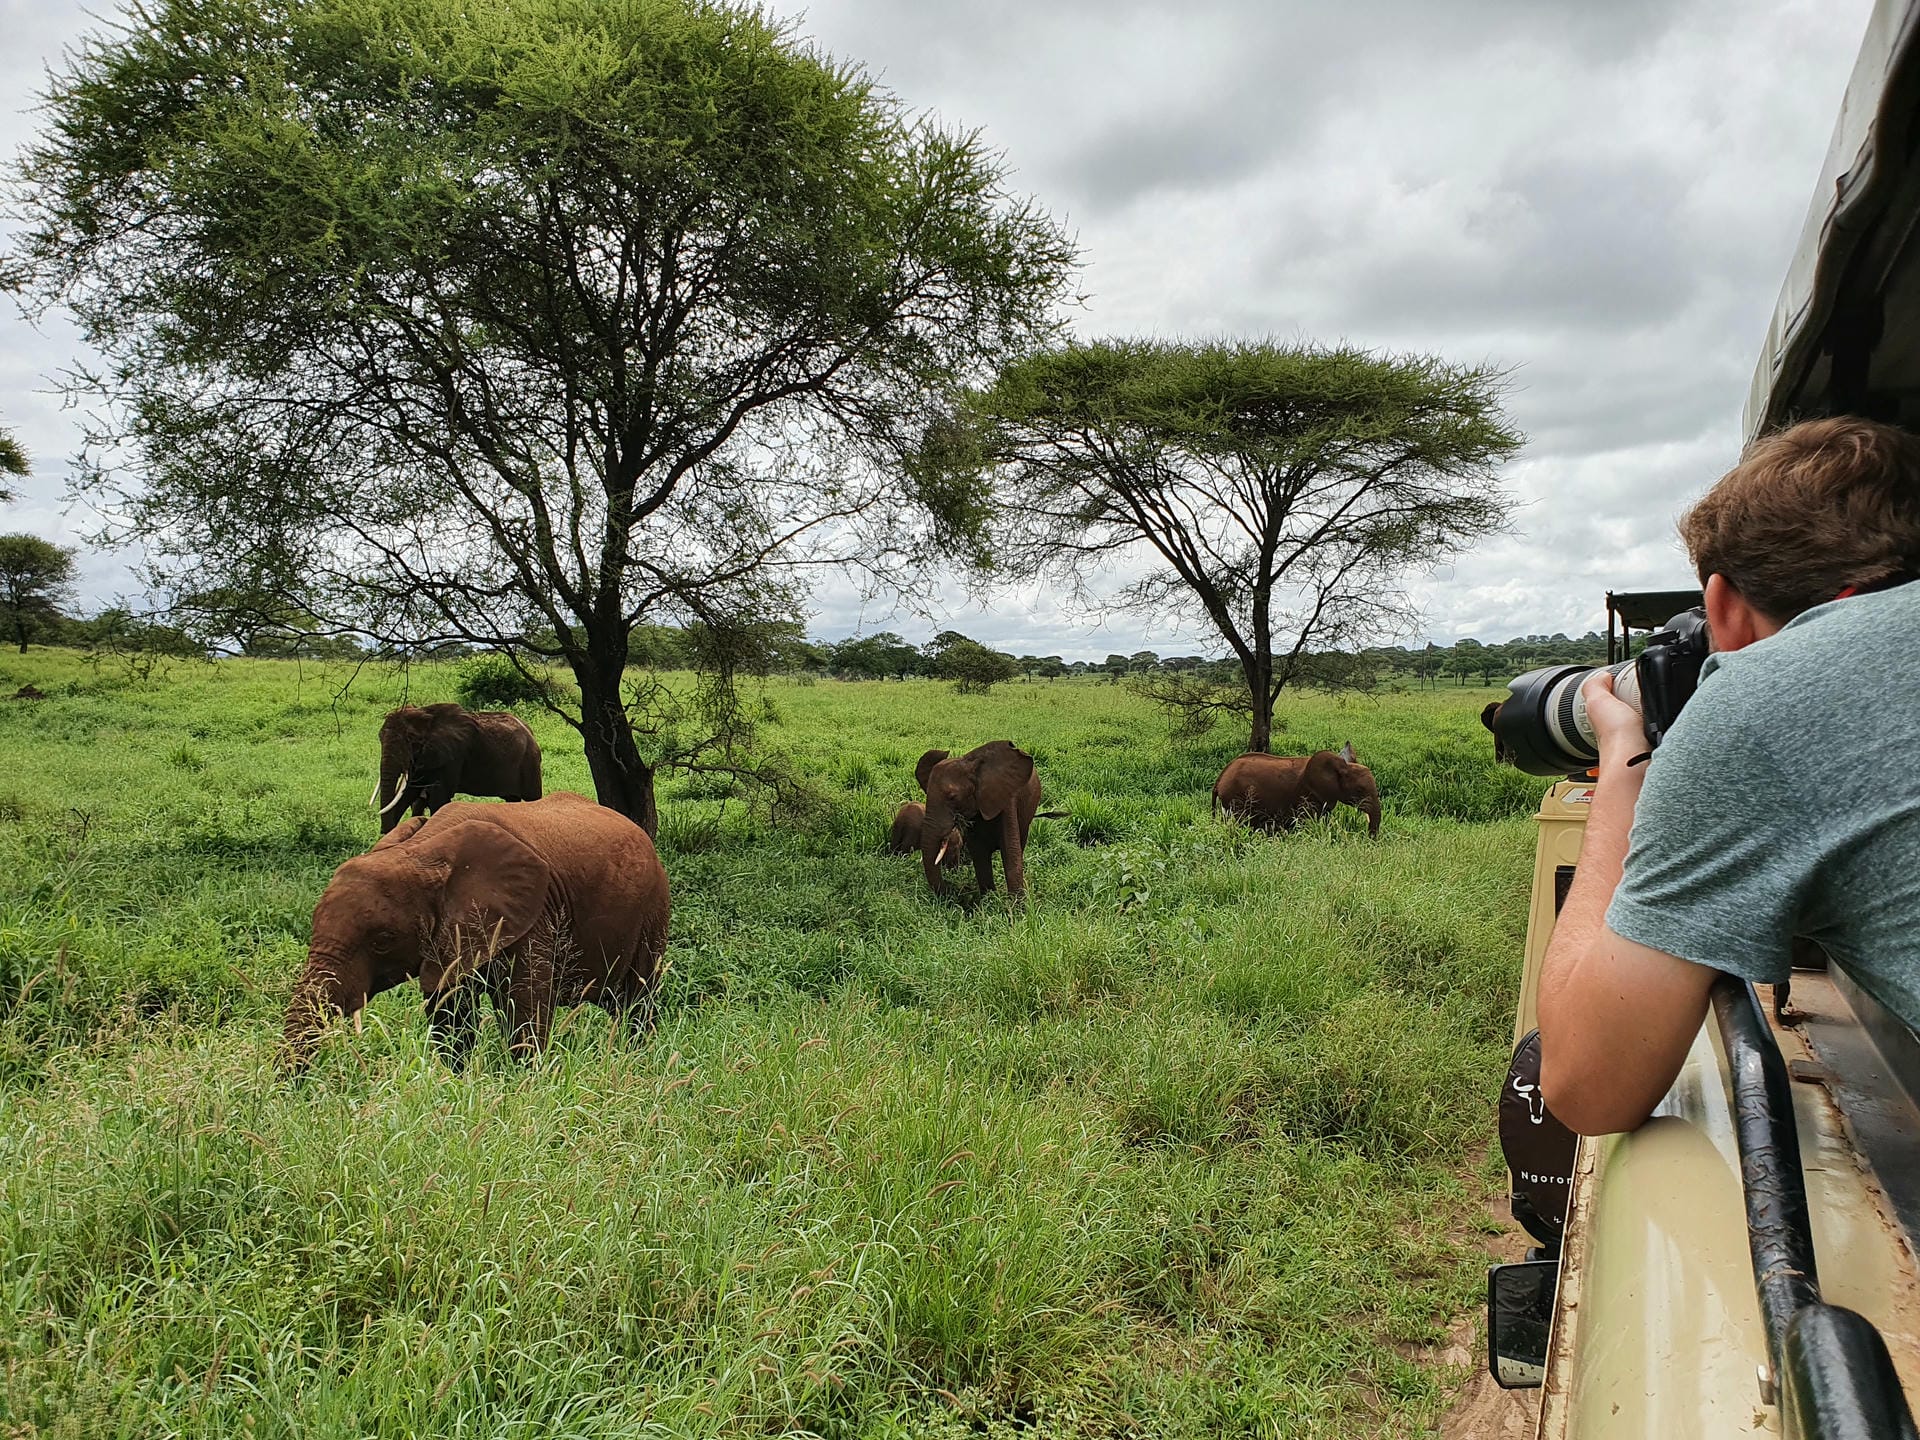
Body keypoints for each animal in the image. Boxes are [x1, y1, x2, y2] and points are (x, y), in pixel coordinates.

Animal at [283, 791, 669, 1069]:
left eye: (382, 941)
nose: (292, 1093)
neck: (422, 851)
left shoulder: (533, 915)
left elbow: (524, 1012)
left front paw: (524, 1085)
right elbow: (450, 1016)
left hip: (653, 910)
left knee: (637, 1001)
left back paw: (637, 1063)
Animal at [373, 702, 543, 833]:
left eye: (411, 740)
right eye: (379, 738)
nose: (384, 832)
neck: (425, 714)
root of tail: (530, 731)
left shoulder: (452, 756)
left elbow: (438, 799)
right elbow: (408, 793)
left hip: (530, 763)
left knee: (533, 799)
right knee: (512, 800)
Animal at [915, 740, 1043, 900]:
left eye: (952, 797)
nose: (952, 890)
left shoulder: (1006, 800)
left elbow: (1011, 853)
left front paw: (1016, 905)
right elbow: (979, 853)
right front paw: (989, 899)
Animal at [1212, 743, 1381, 836]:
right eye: (1359, 790)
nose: (1369, 838)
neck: (1341, 766)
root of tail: (1219, 778)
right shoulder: (1308, 795)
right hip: (1235, 798)